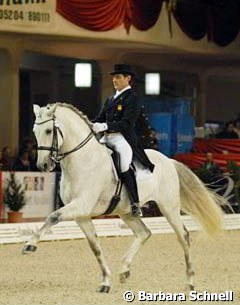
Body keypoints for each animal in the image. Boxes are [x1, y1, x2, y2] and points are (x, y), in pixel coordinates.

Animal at [23, 102, 228, 292]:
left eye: (49, 130)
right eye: (34, 131)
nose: (42, 165)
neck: (83, 159)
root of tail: (168, 160)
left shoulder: (81, 205)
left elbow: (53, 216)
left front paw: (30, 245)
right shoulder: (81, 215)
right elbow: (95, 246)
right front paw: (105, 282)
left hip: (169, 207)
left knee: (183, 236)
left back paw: (190, 282)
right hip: (127, 211)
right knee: (144, 233)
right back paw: (124, 271)